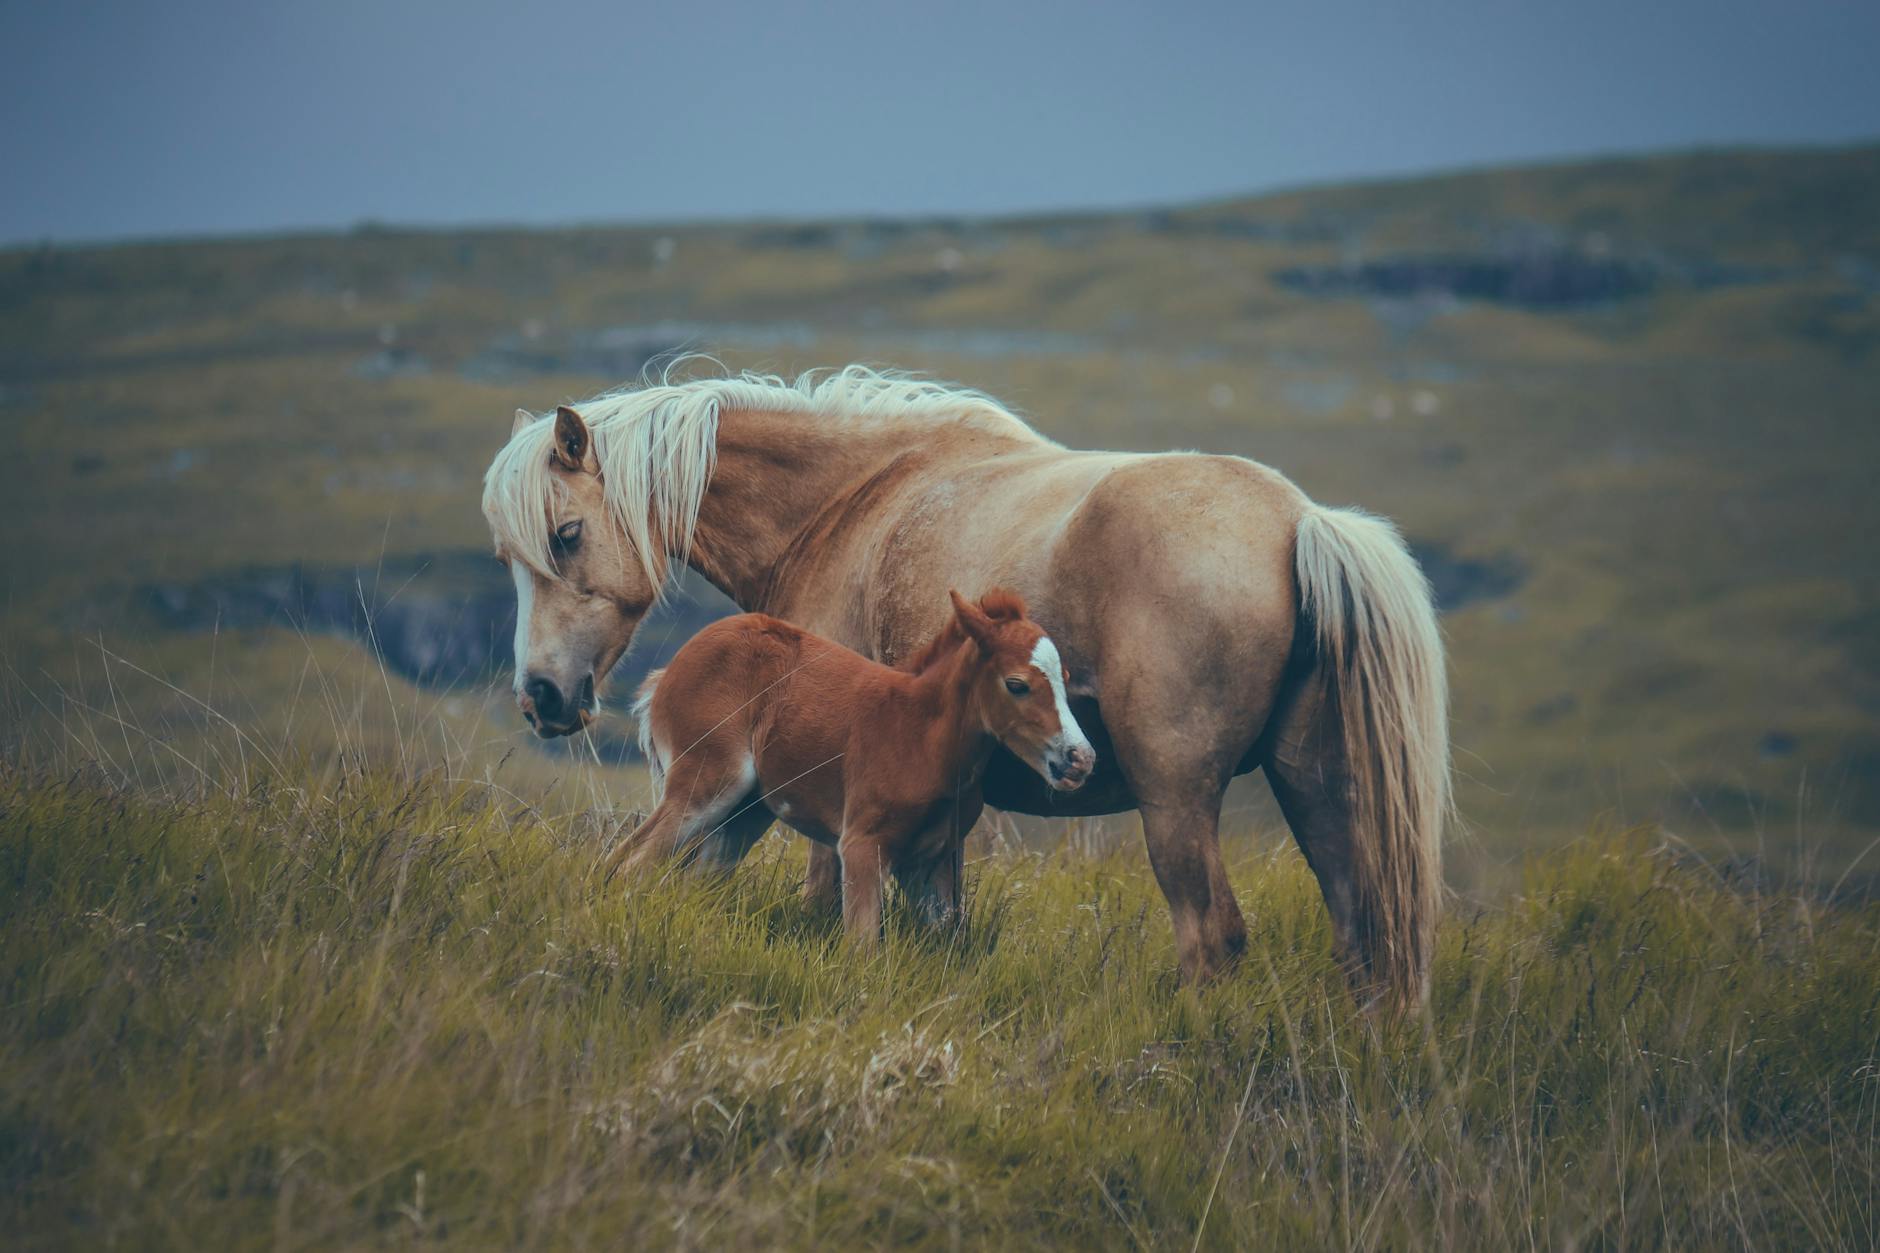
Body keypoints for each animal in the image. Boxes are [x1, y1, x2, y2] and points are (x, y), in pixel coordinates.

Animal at [601, 586, 1097, 936]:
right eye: (1017, 684)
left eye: (1064, 677)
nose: (1080, 759)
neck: (921, 736)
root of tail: (666, 673)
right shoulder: (861, 845)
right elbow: (863, 947)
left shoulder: (931, 863)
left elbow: (942, 943)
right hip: (709, 782)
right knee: (630, 863)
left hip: (746, 812)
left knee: (681, 880)